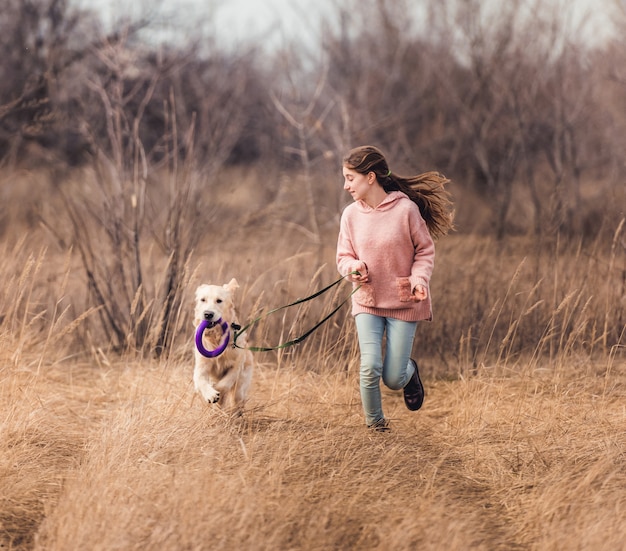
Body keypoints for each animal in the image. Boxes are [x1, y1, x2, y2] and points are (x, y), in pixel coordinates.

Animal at [194, 278, 255, 412]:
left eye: (219, 301)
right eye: (203, 299)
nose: (208, 314)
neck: (216, 337)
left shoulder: (236, 366)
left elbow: (224, 384)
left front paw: (216, 391)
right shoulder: (201, 366)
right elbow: (200, 380)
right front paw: (210, 394)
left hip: (241, 387)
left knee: (237, 400)